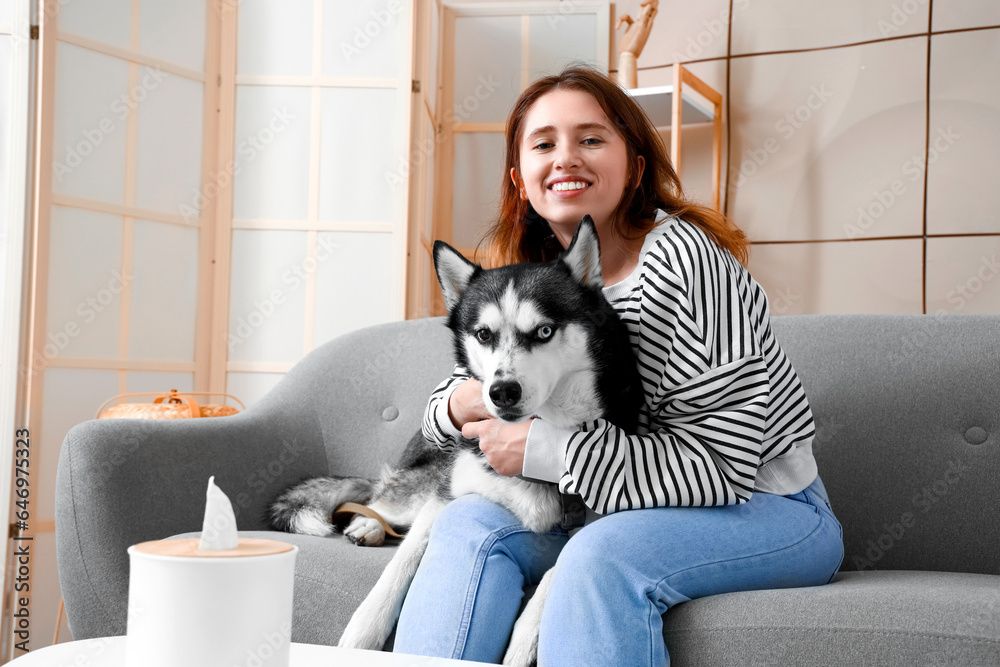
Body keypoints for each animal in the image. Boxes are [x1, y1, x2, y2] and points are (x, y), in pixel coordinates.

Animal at [268, 217, 640, 664]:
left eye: (545, 331)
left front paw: (524, 639)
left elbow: (561, 566)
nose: (502, 392)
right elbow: (401, 564)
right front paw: (363, 631)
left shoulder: (598, 517)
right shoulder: (446, 497)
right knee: (379, 502)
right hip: (424, 480)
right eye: (483, 334)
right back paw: (368, 524)